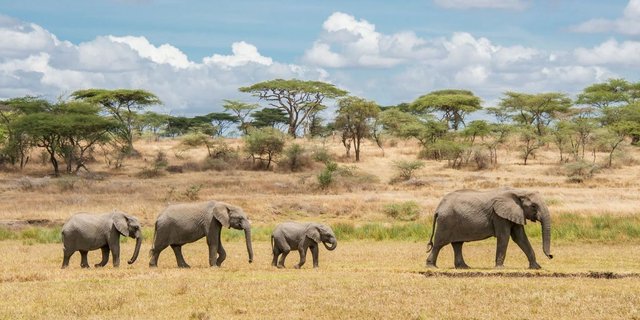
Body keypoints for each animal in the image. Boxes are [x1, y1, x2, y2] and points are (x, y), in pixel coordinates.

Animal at [424, 189, 552, 268]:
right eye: (534, 206)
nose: (551, 256)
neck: (518, 192)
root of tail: (438, 208)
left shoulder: (515, 213)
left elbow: (520, 238)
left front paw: (536, 267)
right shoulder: (499, 215)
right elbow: (504, 237)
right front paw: (500, 268)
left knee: (457, 244)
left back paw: (464, 267)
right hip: (446, 221)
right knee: (439, 244)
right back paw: (432, 266)